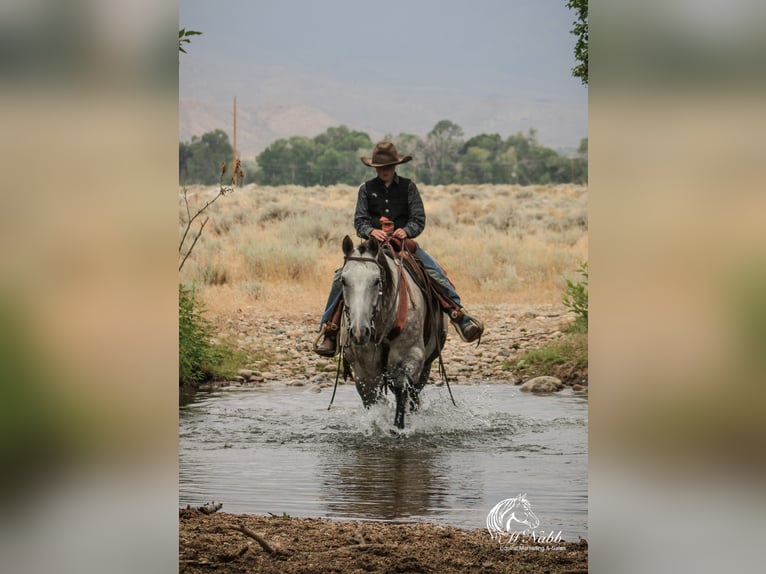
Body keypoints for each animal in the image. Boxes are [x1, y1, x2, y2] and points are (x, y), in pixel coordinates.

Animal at [340, 234, 448, 428]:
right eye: (343, 280)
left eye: (376, 280)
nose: (360, 332)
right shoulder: (364, 372)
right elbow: (373, 400)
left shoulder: (410, 356)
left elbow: (402, 389)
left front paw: (398, 427)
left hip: (425, 366)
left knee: (413, 395)